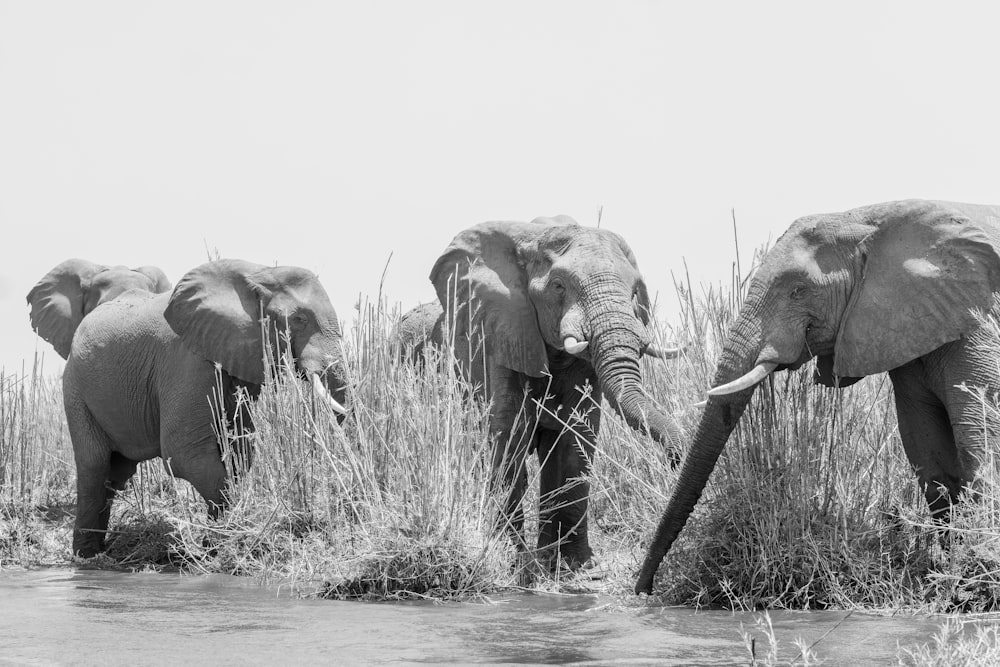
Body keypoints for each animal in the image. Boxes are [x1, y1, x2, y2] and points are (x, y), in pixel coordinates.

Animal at [430, 217, 688, 572]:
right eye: (558, 286)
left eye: (636, 291)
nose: (673, 461)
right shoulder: (505, 330)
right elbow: (509, 434)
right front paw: (513, 560)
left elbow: (576, 437)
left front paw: (574, 566)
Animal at [636, 198, 1000, 596]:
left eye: (798, 290)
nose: (643, 589)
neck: (870, 219)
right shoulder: (905, 329)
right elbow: (927, 452)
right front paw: (954, 565)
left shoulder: (979, 322)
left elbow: (979, 437)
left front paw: (971, 569)